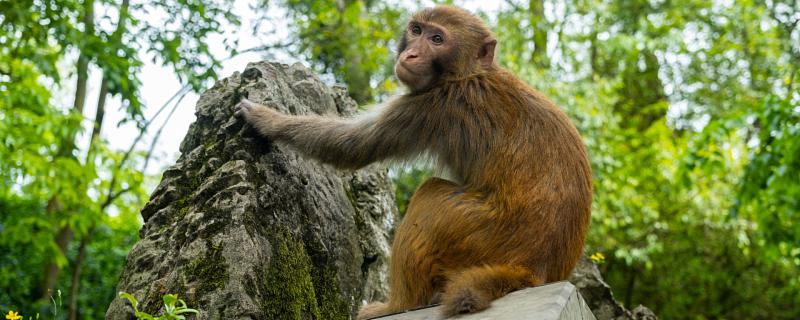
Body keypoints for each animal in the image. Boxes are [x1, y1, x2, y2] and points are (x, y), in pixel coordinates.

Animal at [234, 4, 592, 318]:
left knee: (429, 196)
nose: (411, 54)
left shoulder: (434, 105)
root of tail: (531, 269)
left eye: (437, 39)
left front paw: (268, 120)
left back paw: (400, 305)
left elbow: (353, 145)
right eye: (417, 31)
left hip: (479, 233)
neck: (467, 73)